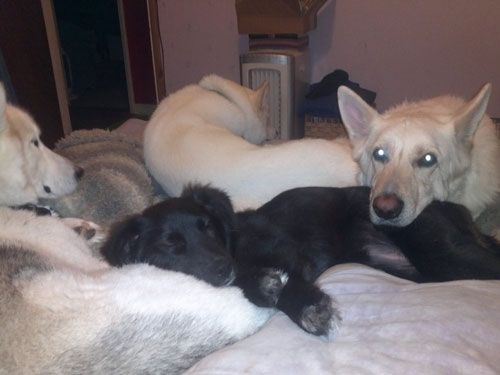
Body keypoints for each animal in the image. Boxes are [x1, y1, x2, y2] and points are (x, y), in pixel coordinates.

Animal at [100, 186, 500, 340]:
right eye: (172, 246)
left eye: (209, 228)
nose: (223, 267)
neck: (235, 245)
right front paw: (262, 285)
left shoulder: (291, 253)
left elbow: (291, 286)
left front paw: (308, 309)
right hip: (416, 269)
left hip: (443, 252)